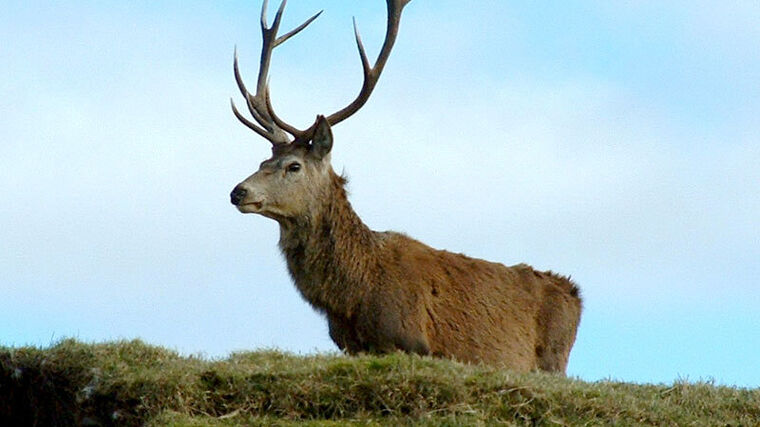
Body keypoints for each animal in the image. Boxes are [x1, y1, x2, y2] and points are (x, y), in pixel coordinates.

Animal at [227, 0, 580, 374]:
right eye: (263, 162)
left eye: (294, 166)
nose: (238, 191)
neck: (355, 295)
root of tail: (574, 293)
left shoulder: (411, 342)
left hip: (553, 359)